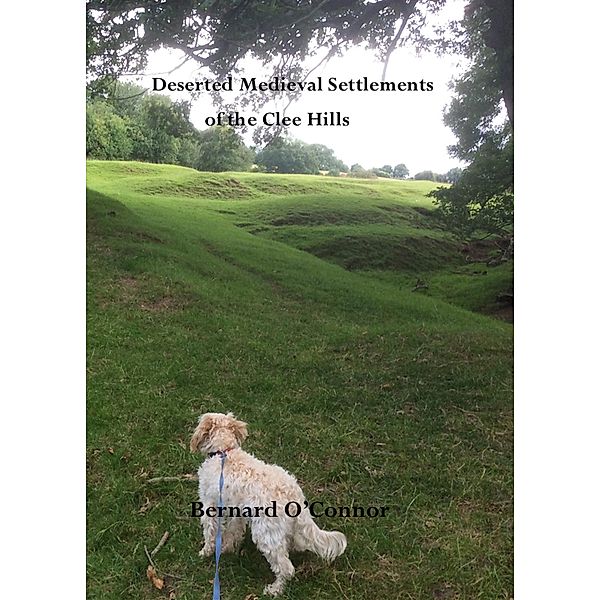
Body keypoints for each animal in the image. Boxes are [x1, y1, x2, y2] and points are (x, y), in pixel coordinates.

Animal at [190, 412, 350, 596]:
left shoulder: (210, 506)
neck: (224, 452)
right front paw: (226, 548)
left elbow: (210, 533)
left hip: (265, 533)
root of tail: (294, 495)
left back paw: (275, 589)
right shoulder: (237, 511)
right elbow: (233, 532)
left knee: (286, 567)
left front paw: (205, 552)